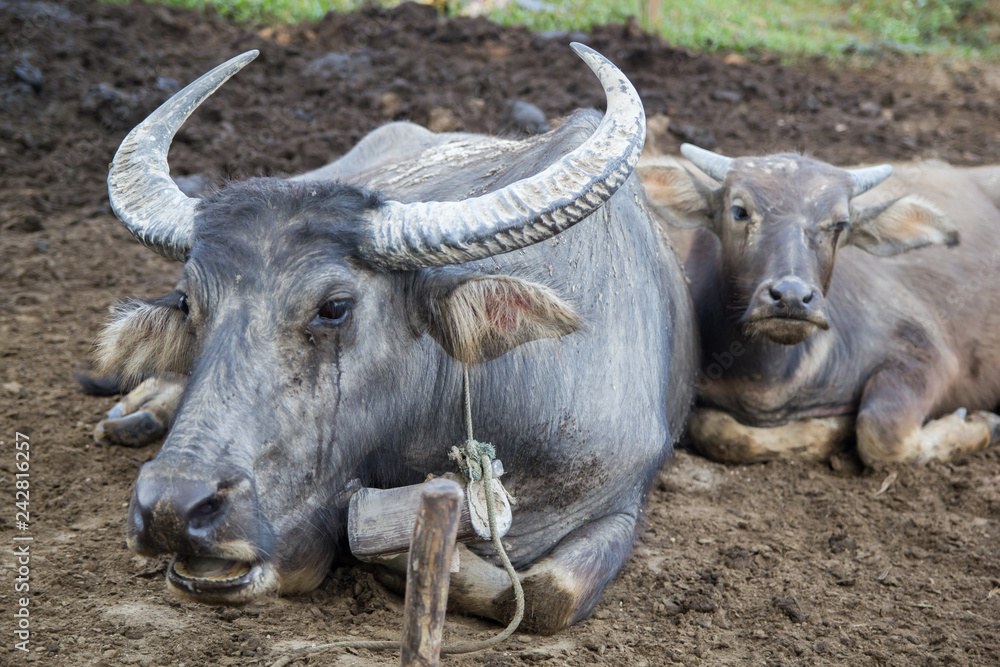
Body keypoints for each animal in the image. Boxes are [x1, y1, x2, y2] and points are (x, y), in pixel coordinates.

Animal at [641, 145, 1000, 465]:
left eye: (840, 224)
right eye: (740, 211)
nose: (791, 296)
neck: (768, 382)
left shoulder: (926, 352)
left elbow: (879, 431)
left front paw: (985, 425)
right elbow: (715, 430)